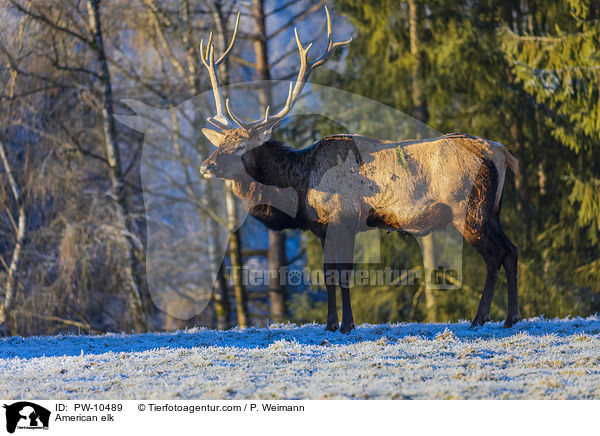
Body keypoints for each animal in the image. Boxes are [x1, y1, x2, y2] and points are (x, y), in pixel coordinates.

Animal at [199, 6, 516, 332]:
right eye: (221, 143)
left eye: (241, 146)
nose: (205, 166)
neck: (300, 185)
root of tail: (502, 153)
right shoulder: (322, 227)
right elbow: (327, 276)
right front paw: (330, 324)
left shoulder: (345, 218)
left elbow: (344, 275)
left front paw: (347, 324)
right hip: (492, 210)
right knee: (512, 251)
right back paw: (510, 317)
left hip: (467, 209)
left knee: (495, 256)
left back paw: (481, 318)